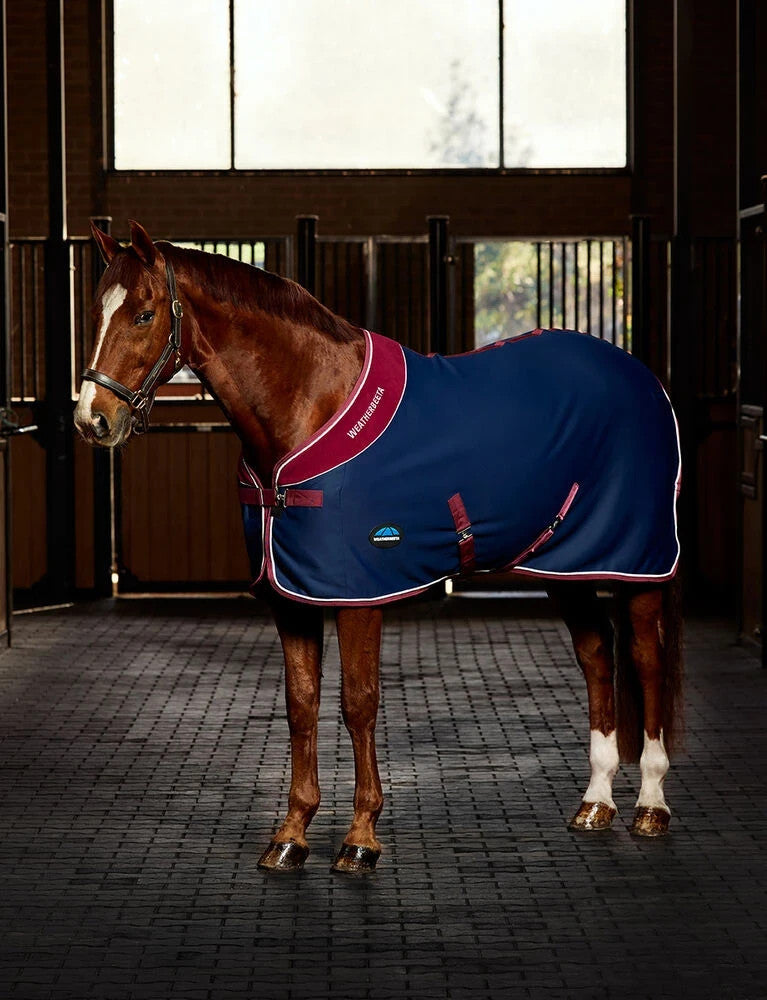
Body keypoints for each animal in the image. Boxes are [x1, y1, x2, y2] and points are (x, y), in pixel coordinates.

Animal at [74, 220, 683, 875]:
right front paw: (291, 834)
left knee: (645, 661)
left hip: (637, 563)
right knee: (597, 656)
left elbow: (358, 703)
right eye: (97, 311)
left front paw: (361, 837)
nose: (92, 420)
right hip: (567, 564)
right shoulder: (291, 599)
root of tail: (642, 378)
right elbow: (301, 705)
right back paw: (595, 803)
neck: (310, 405)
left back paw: (651, 804)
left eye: (143, 314)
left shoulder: (357, 595)